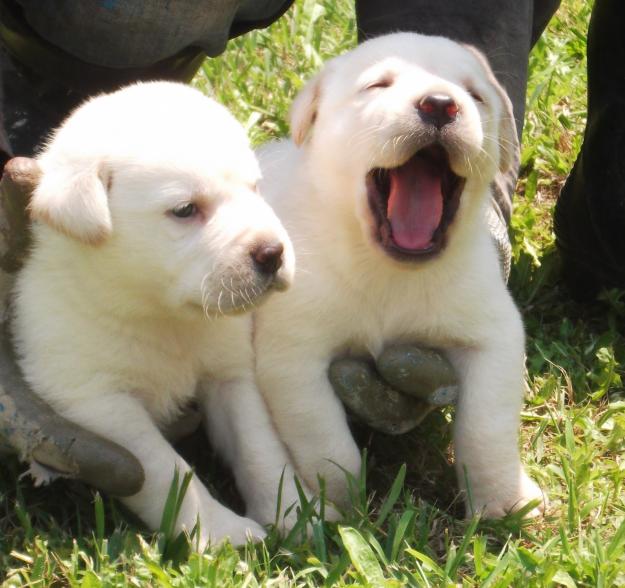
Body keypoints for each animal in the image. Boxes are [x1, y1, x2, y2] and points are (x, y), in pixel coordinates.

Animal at [9, 81, 302, 548]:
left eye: (255, 188)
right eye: (185, 210)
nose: (273, 253)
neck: (163, 317)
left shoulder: (230, 374)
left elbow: (258, 444)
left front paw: (293, 511)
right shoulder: (98, 402)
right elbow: (168, 472)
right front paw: (220, 532)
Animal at [254, 33, 544, 520]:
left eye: (475, 94)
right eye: (378, 85)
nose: (441, 104)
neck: (388, 271)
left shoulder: (492, 336)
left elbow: (487, 428)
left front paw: (502, 503)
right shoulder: (292, 356)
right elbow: (325, 442)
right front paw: (339, 506)